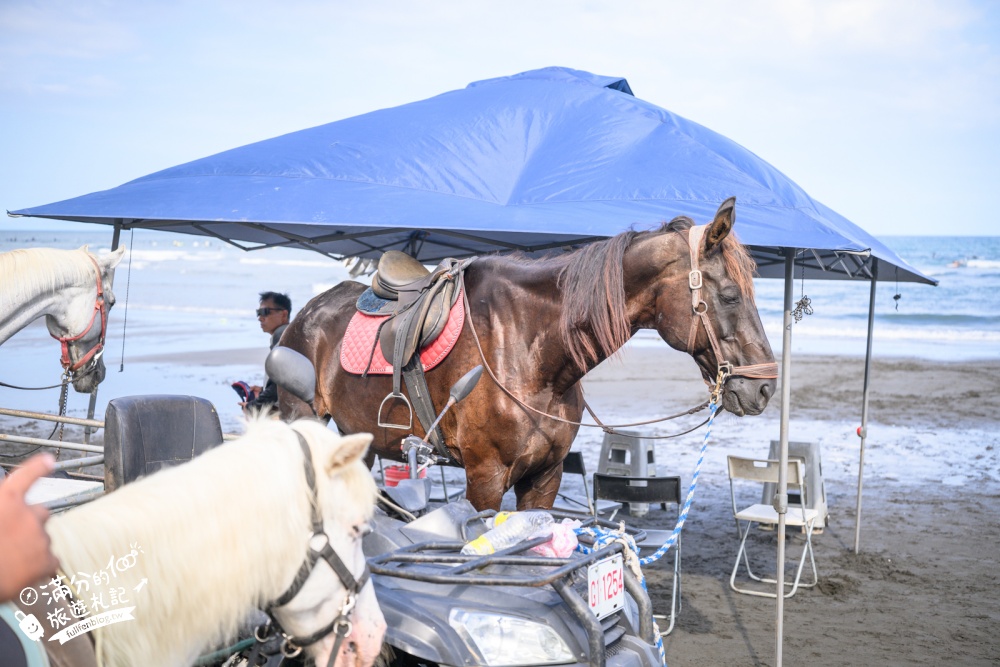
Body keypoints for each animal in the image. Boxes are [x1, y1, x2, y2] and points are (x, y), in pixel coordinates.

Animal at [278, 198, 777, 511]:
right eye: (731, 296)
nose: (766, 388)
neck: (530, 350)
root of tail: (308, 312)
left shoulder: (544, 479)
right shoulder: (485, 479)